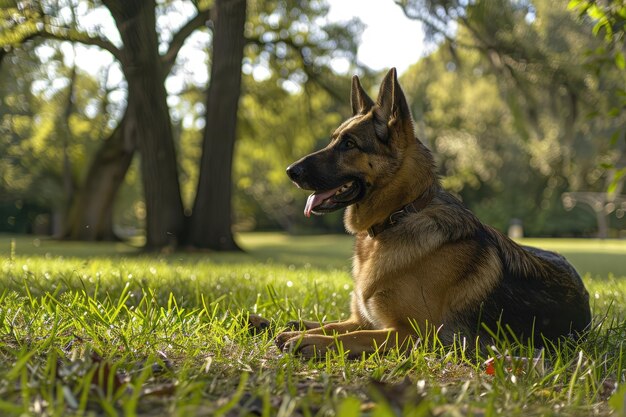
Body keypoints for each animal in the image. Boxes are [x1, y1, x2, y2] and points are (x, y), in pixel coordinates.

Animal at [278, 68, 588, 358]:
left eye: (349, 144)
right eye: (333, 140)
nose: (290, 172)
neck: (399, 215)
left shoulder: (412, 334)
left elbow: (350, 337)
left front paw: (311, 341)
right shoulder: (362, 319)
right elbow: (330, 324)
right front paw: (295, 328)